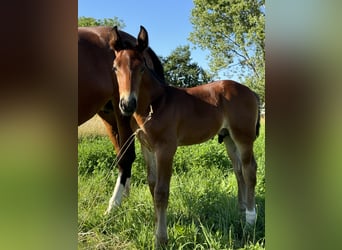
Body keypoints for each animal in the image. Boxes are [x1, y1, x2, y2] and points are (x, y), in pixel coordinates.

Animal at [79, 25, 167, 215]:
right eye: (115, 68)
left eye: (142, 69)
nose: (127, 104)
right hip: (110, 113)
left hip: (120, 114)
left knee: (126, 156)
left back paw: (113, 206)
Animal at [109, 25, 262, 246]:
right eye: (115, 68)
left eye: (142, 68)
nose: (127, 104)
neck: (156, 104)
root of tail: (251, 92)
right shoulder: (147, 147)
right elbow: (152, 185)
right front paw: (156, 227)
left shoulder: (166, 148)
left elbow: (161, 192)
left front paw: (161, 239)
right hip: (229, 138)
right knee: (239, 170)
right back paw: (241, 212)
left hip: (243, 137)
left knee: (250, 170)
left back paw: (250, 220)